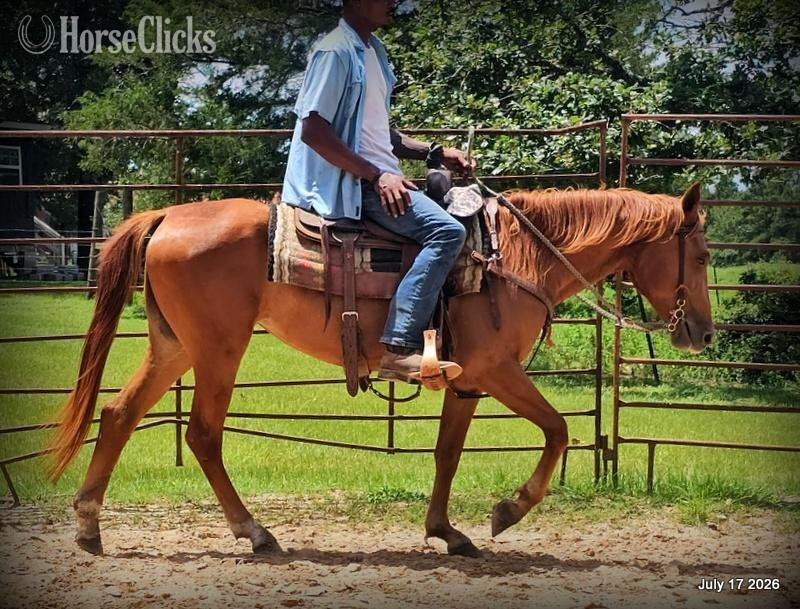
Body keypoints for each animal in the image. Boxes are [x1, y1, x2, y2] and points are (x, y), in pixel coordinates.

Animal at [48, 183, 713, 558]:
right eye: (704, 254)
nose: (703, 333)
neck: (516, 256)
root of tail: (165, 216)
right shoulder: (497, 370)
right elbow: (558, 429)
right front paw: (509, 510)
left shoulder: (467, 381)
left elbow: (448, 453)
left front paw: (448, 532)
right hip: (217, 350)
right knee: (204, 435)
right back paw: (255, 533)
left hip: (175, 347)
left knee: (118, 414)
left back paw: (89, 527)